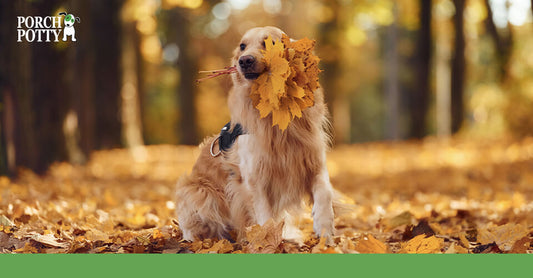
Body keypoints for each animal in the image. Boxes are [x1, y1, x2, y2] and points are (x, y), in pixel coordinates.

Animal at [177, 27, 334, 242]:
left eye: (270, 43)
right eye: (242, 46)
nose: (244, 61)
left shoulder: (314, 162)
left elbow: (325, 193)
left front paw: (325, 231)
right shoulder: (253, 178)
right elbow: (265, 216)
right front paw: (268, 242)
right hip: (199, 191)